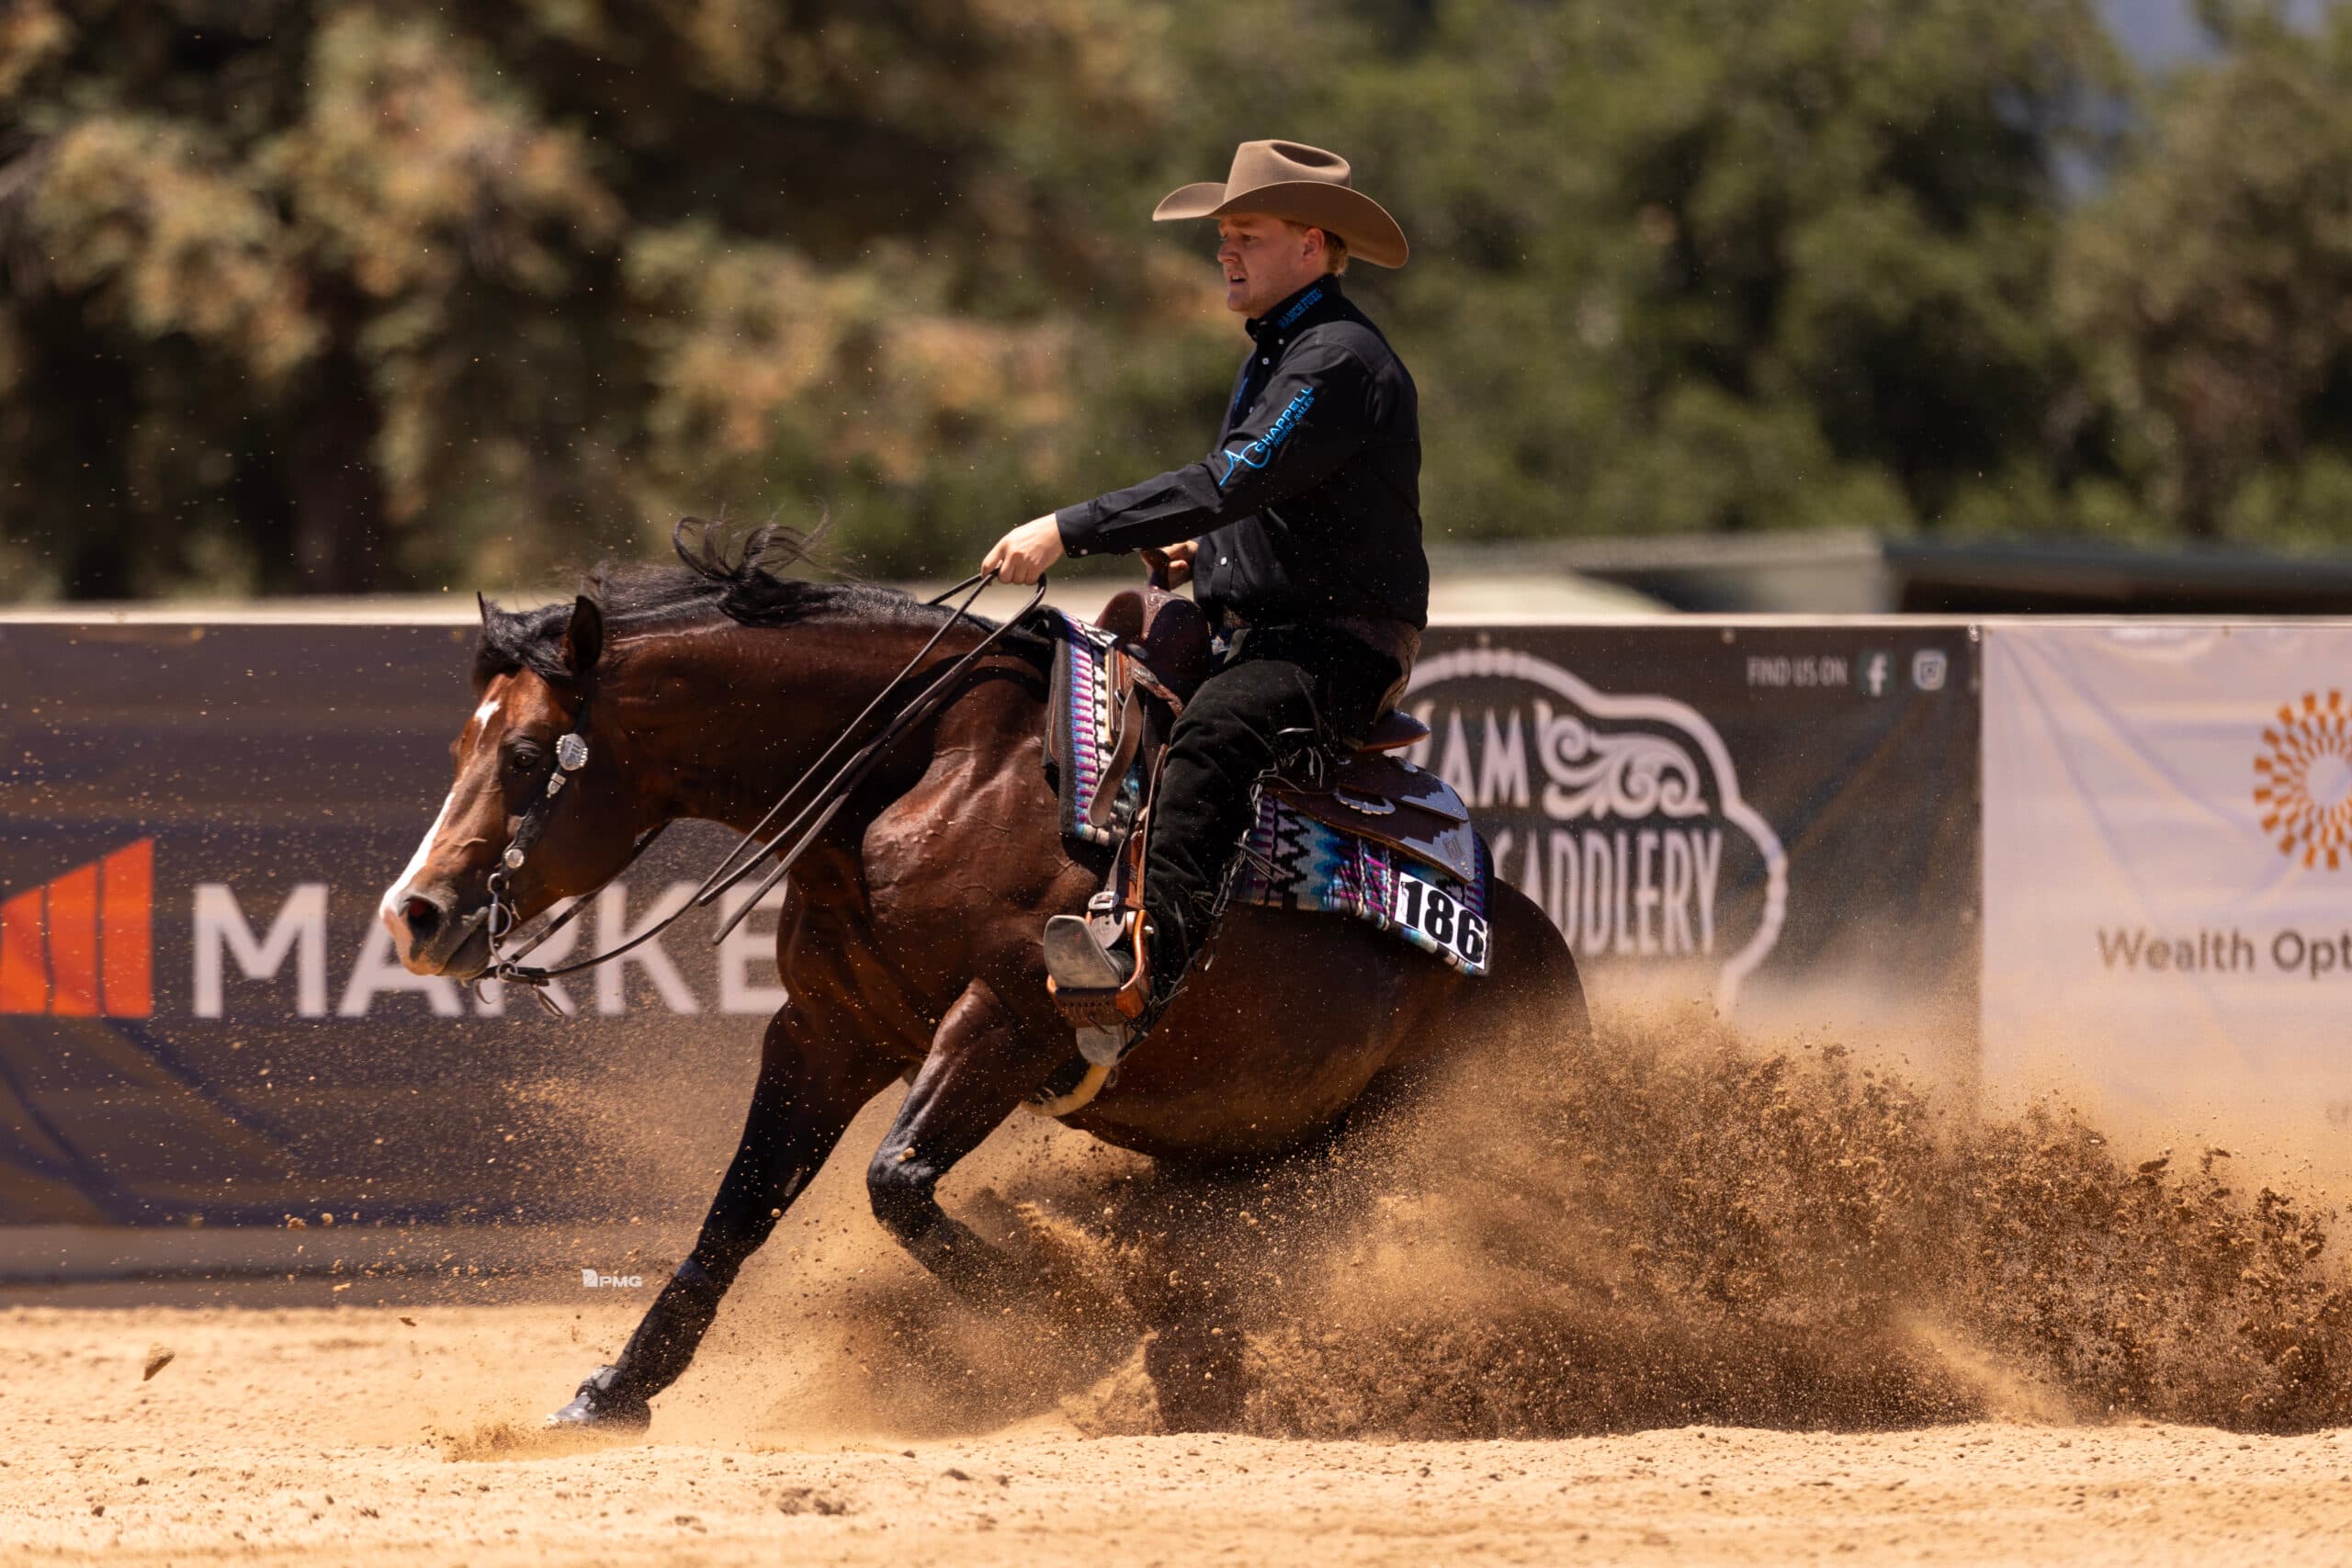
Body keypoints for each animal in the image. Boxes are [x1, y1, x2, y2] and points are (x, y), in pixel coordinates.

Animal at [379, 522, 1588, 1431]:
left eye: (525, 756)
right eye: (459, 748)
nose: (415, 914)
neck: (931, 772)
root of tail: (1535, 947)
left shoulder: (1007, 1022)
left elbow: (896, 1183)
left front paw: (1067, 1331)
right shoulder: (825, 1034)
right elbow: (737, 1215)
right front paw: (614, 1392)